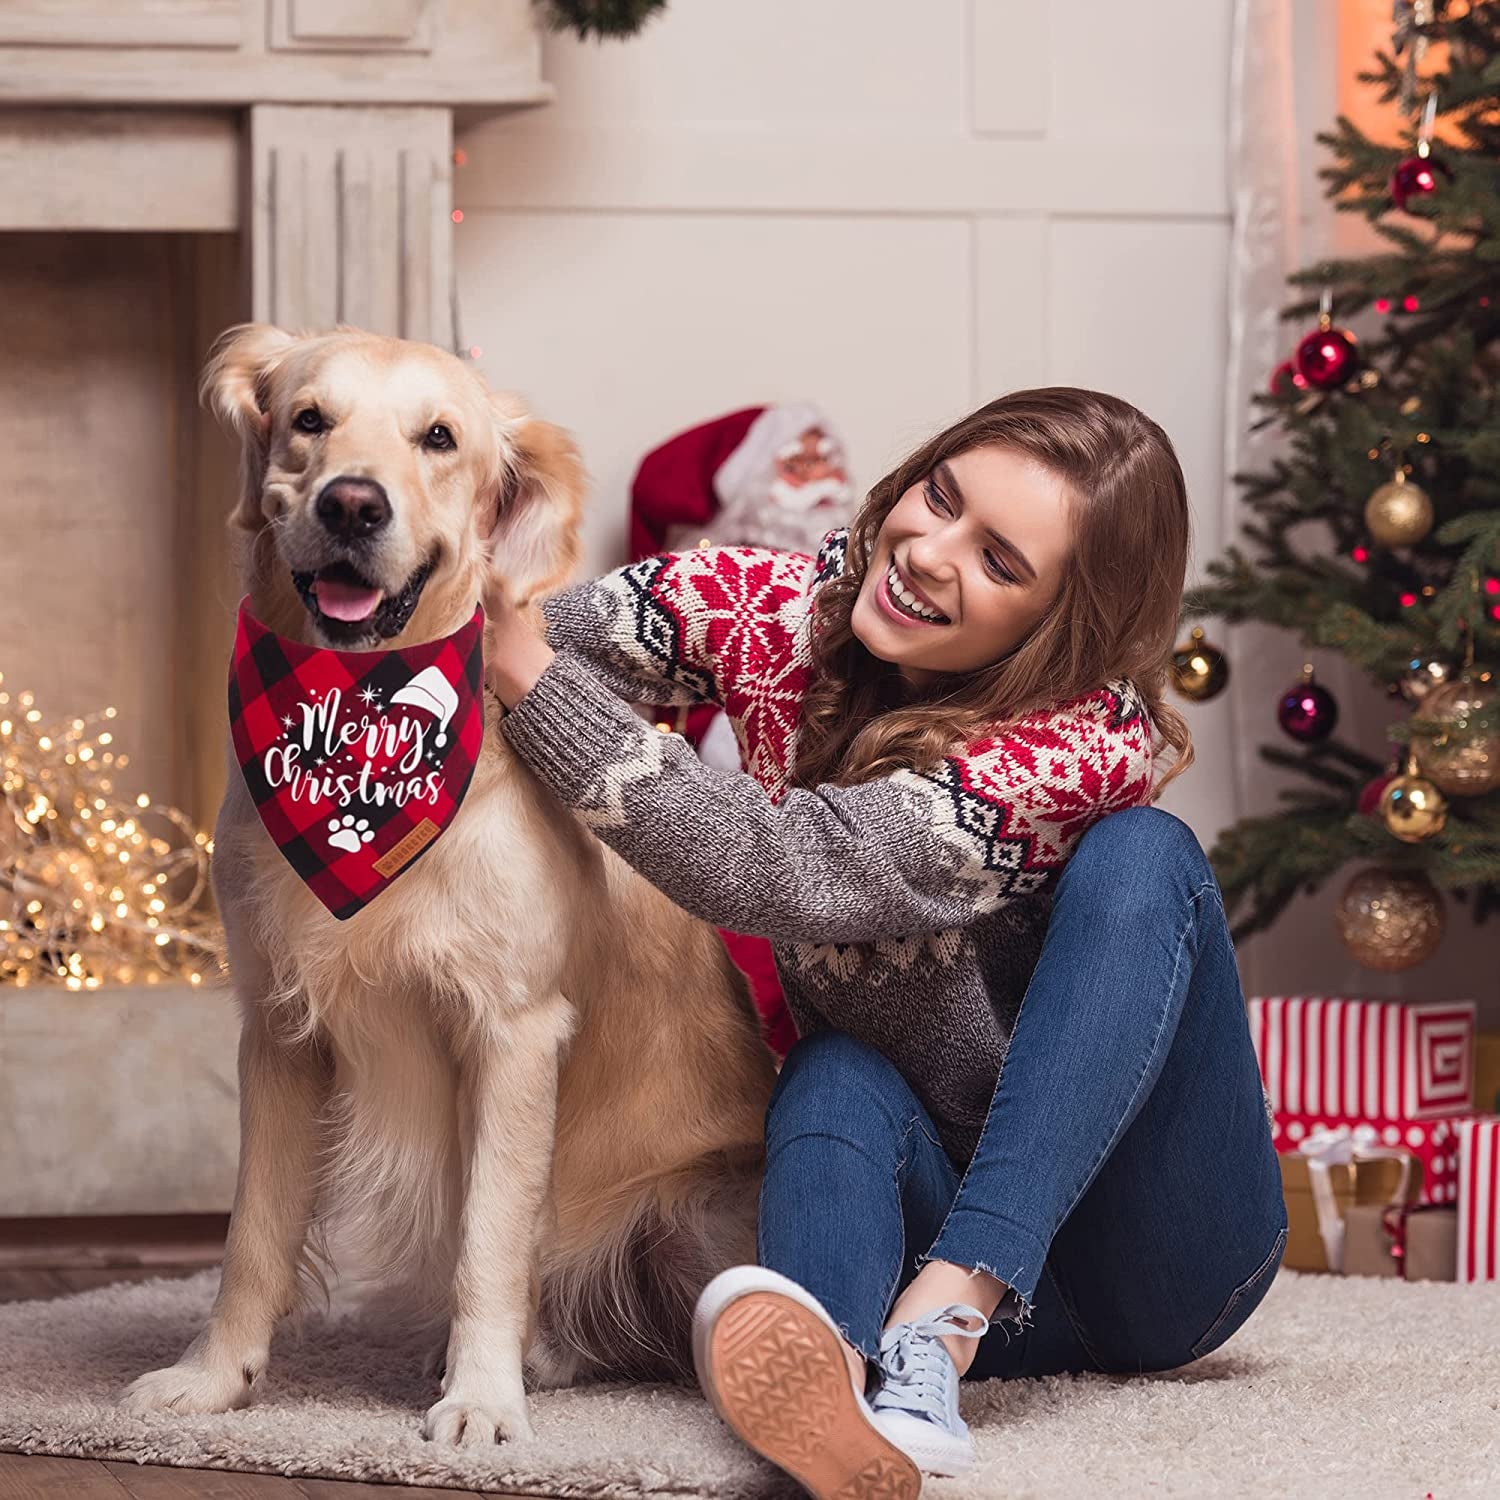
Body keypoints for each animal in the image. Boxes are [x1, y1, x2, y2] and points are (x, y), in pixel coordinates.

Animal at [120, 325, 774, 1440]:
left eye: (439, 438)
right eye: (309, 420)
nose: (352, 504)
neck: (359, 722)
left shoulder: (514, 1029)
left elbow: (489, 1242)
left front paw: (479, 1398)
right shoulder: (278, 1029)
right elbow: (253, 1236)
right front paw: (213, 1378)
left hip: (702, 1209)